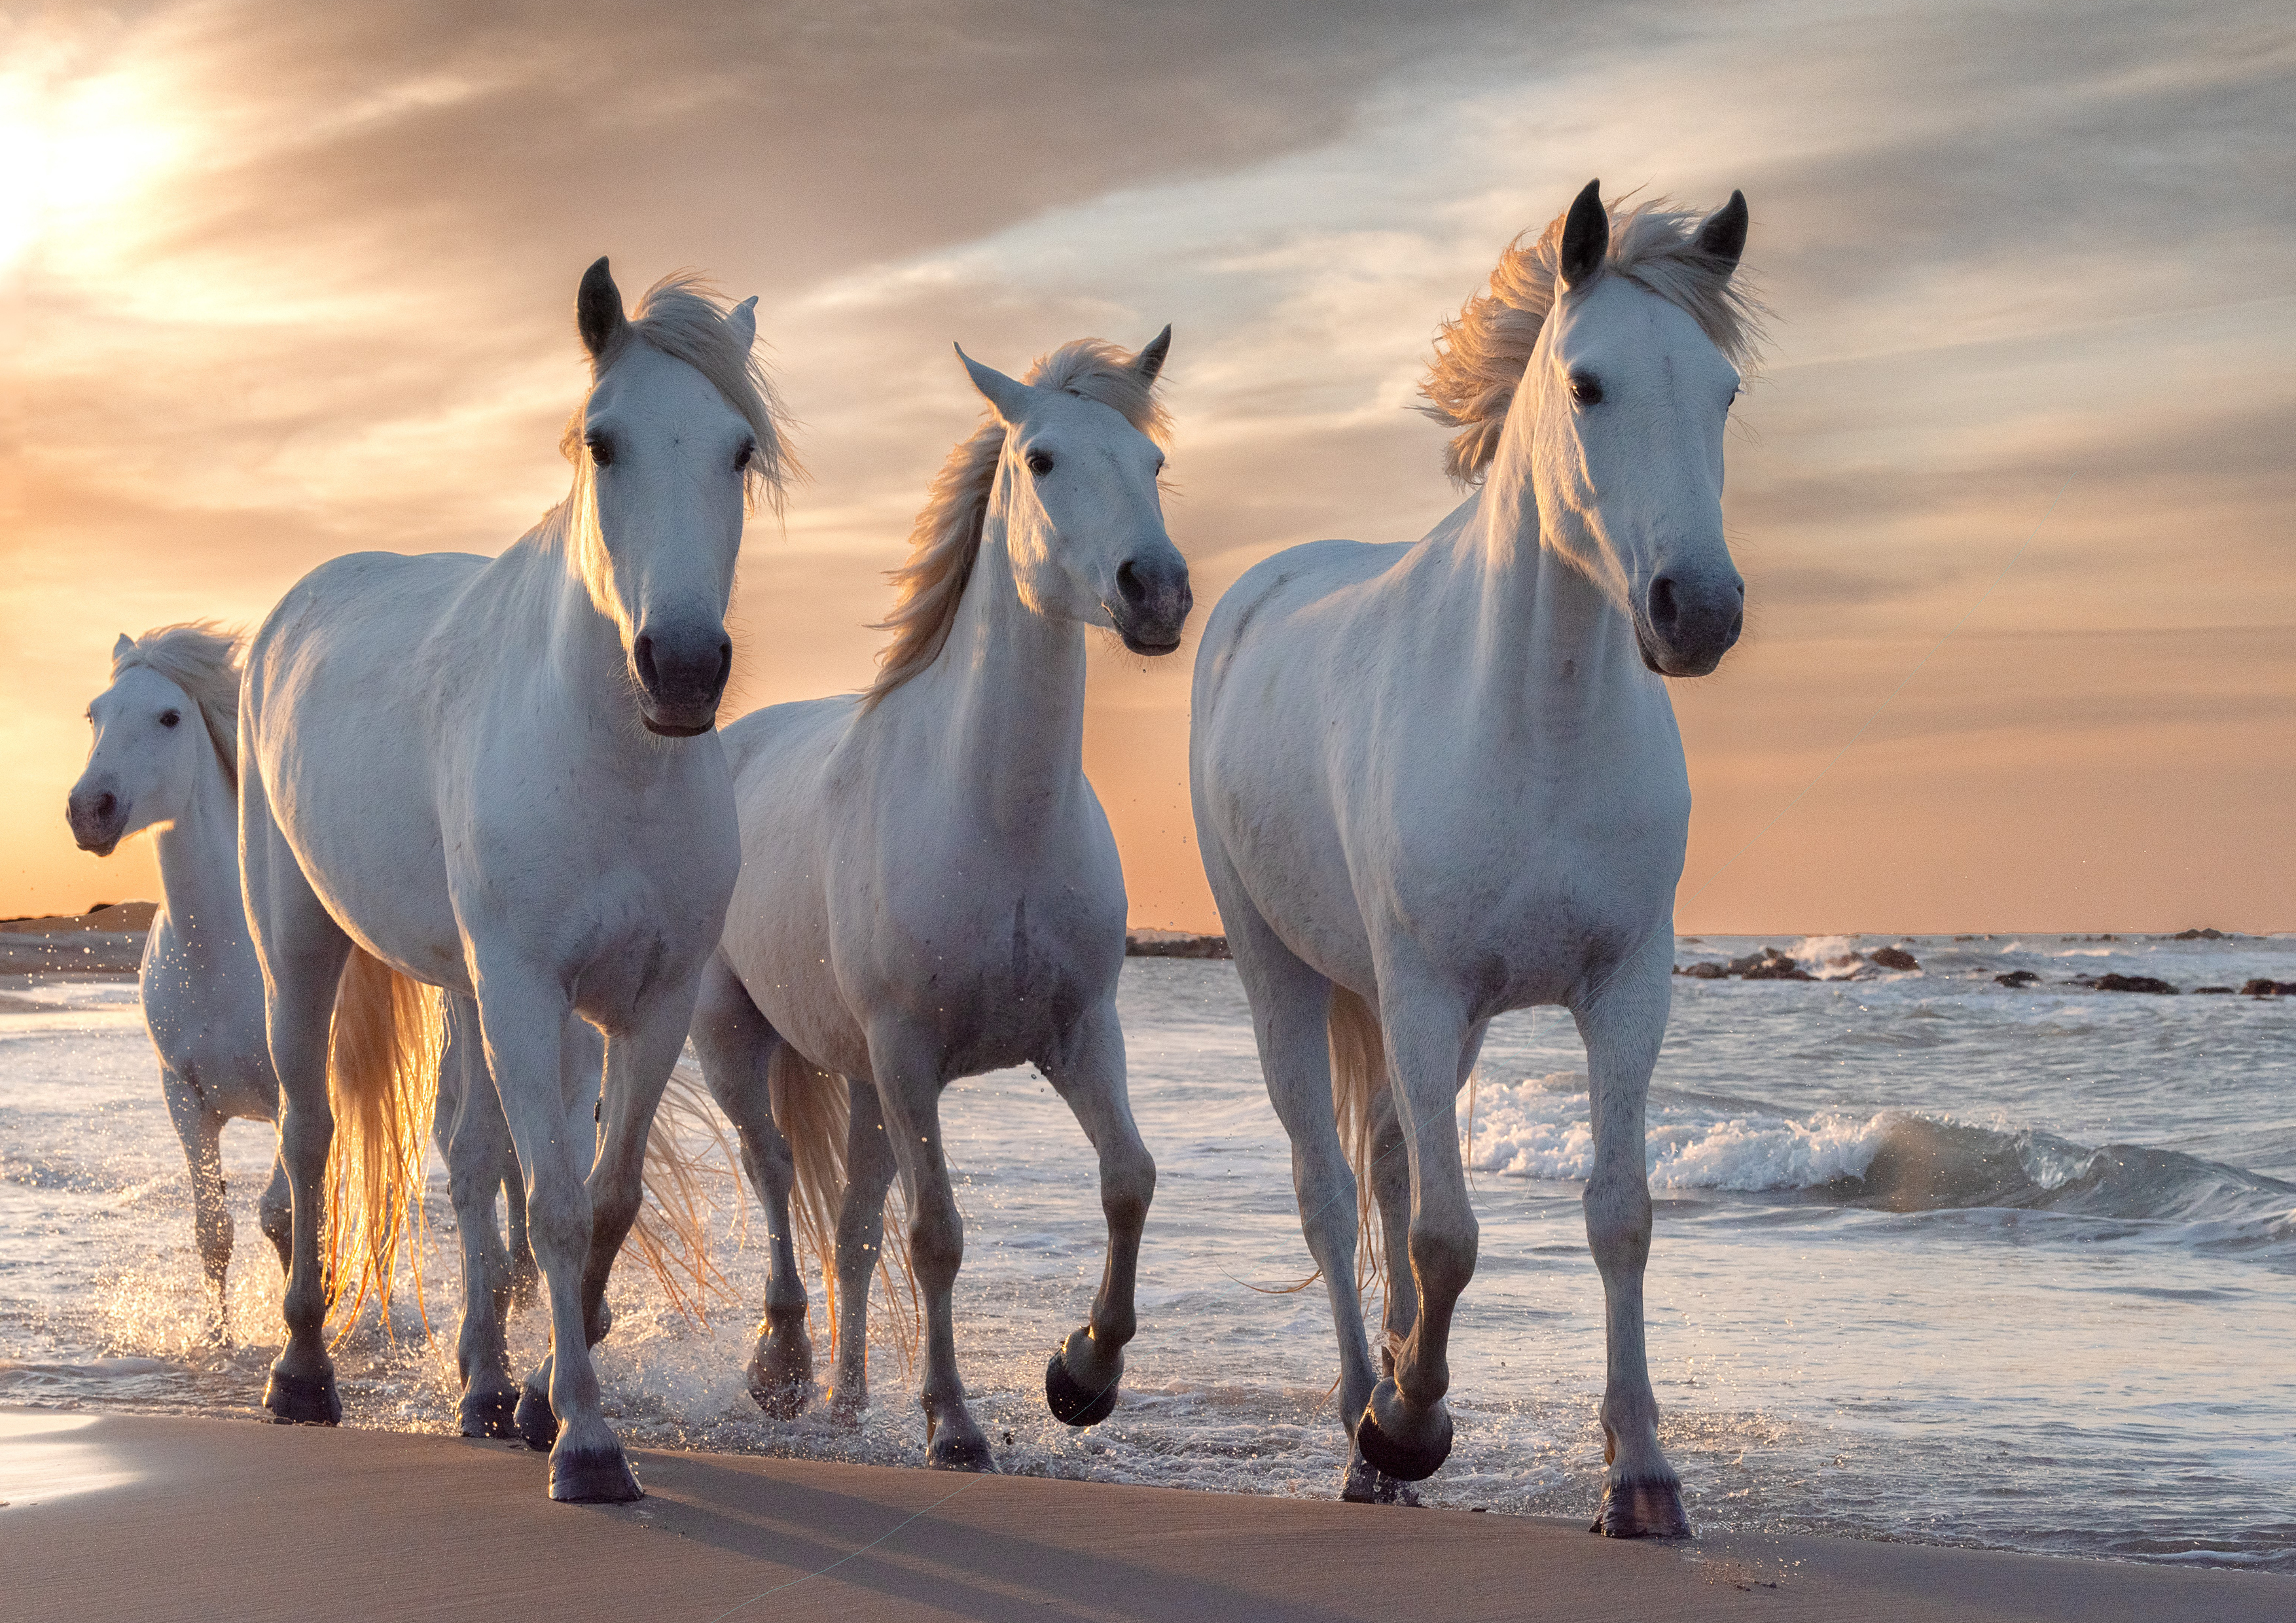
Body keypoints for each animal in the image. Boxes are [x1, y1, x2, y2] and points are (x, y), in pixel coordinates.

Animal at [238, 261, 788, 1501]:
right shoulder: (531, 993)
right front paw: (586, 1443)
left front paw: (541, 1401)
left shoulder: (649, 1002)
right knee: (310, 1134)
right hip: (299, 946)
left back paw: (485, 1390)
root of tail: (296, 606)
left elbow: (603, 1198)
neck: (613, 761)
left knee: (465, 1156)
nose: (683, 668)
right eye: (604, 442)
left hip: (465, 986)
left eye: (738, 450)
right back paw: (301, 1375)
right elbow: (553, 1205)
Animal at [691, 332, 1188, 1468]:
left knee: (851, 1225)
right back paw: (782, 1369)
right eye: (1042, 460)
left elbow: (1128, 1180)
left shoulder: (1079, 1035)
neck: (995, 820)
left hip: (864, 1082)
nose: (1155, 591)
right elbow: (938, 1236)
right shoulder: (912, 1051)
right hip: (738, 1038)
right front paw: (955, 1425)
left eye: (1152, 463)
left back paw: (845, 1400)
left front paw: (1082, 1376)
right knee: (773, 1171)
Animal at [1188, 181, 1759, 1533]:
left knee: (1392, 1167)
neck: (1536, 726)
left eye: (1722, 392)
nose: (1697, 611)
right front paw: (1404, 1429)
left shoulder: (1623, 990)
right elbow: (1446, 1237)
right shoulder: (1422, 990)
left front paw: (1641, 1476)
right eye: (1588, 385)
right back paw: (1366, 1424)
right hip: (1284, 975)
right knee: (1330, 1193)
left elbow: (1617, 1215)